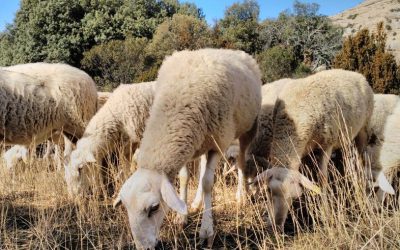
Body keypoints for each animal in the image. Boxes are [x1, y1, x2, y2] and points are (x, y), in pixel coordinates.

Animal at [112, 47, 262, 249]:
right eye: (127, 208)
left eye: (154, 208)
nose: (143, 247)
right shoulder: (187, 143)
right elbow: (184, 178)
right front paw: (181, 217)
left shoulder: (218, 143)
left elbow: (208, 183)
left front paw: (207, 231)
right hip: (204, 140)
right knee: (203, 167)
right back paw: (197, 202)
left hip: (247, 128)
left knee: (241, 162)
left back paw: (242, 196)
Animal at [253, 69, 376, 232]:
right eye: (268, 191)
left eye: (294, 198)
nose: (277, 226)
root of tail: (355, 74)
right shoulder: (303, 148)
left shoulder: (327, 144)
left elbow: (322, 178)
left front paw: (325, 212)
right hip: (345, 136)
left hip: (363, 129)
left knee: (361, 159)